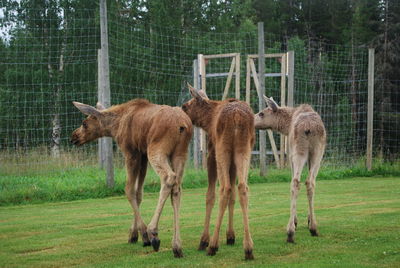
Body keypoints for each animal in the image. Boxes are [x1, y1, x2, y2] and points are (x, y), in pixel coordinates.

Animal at [70, 98, 192, 258]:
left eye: (84, 123)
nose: (73, 137)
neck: (115, 126)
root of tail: (182, 125)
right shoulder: (142, 154)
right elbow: (138, 193)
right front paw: (134, 234)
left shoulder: (131, 152)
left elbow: (129, 190)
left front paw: (143, 235)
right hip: (180, 154)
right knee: (177, 188)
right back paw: (177, 245)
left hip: (157, 149)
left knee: (168, 178)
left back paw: (153, 232)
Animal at [182, 83, 255, 260]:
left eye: (185, 106)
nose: (180, 112)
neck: (208, 121)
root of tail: (237, 117)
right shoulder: (233, 163)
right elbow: (233, 196)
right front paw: (230, 235)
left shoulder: (211, 154)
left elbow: (210, 196)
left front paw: (204, 240)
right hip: (244, 150)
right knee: (242, 187)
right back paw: (248, 247)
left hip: (222, 150)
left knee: (225, 188)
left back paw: (213, 245)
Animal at [255, 96, 326, 243]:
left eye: (261, 113)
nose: (251, 120)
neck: (286, 126)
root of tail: (308, 128)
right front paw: (304, 220)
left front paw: (302, 221)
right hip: (311, 153)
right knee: (304, 182)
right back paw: (303, 229)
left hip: (306, 151)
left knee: (301, 182)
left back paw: (298, 230)